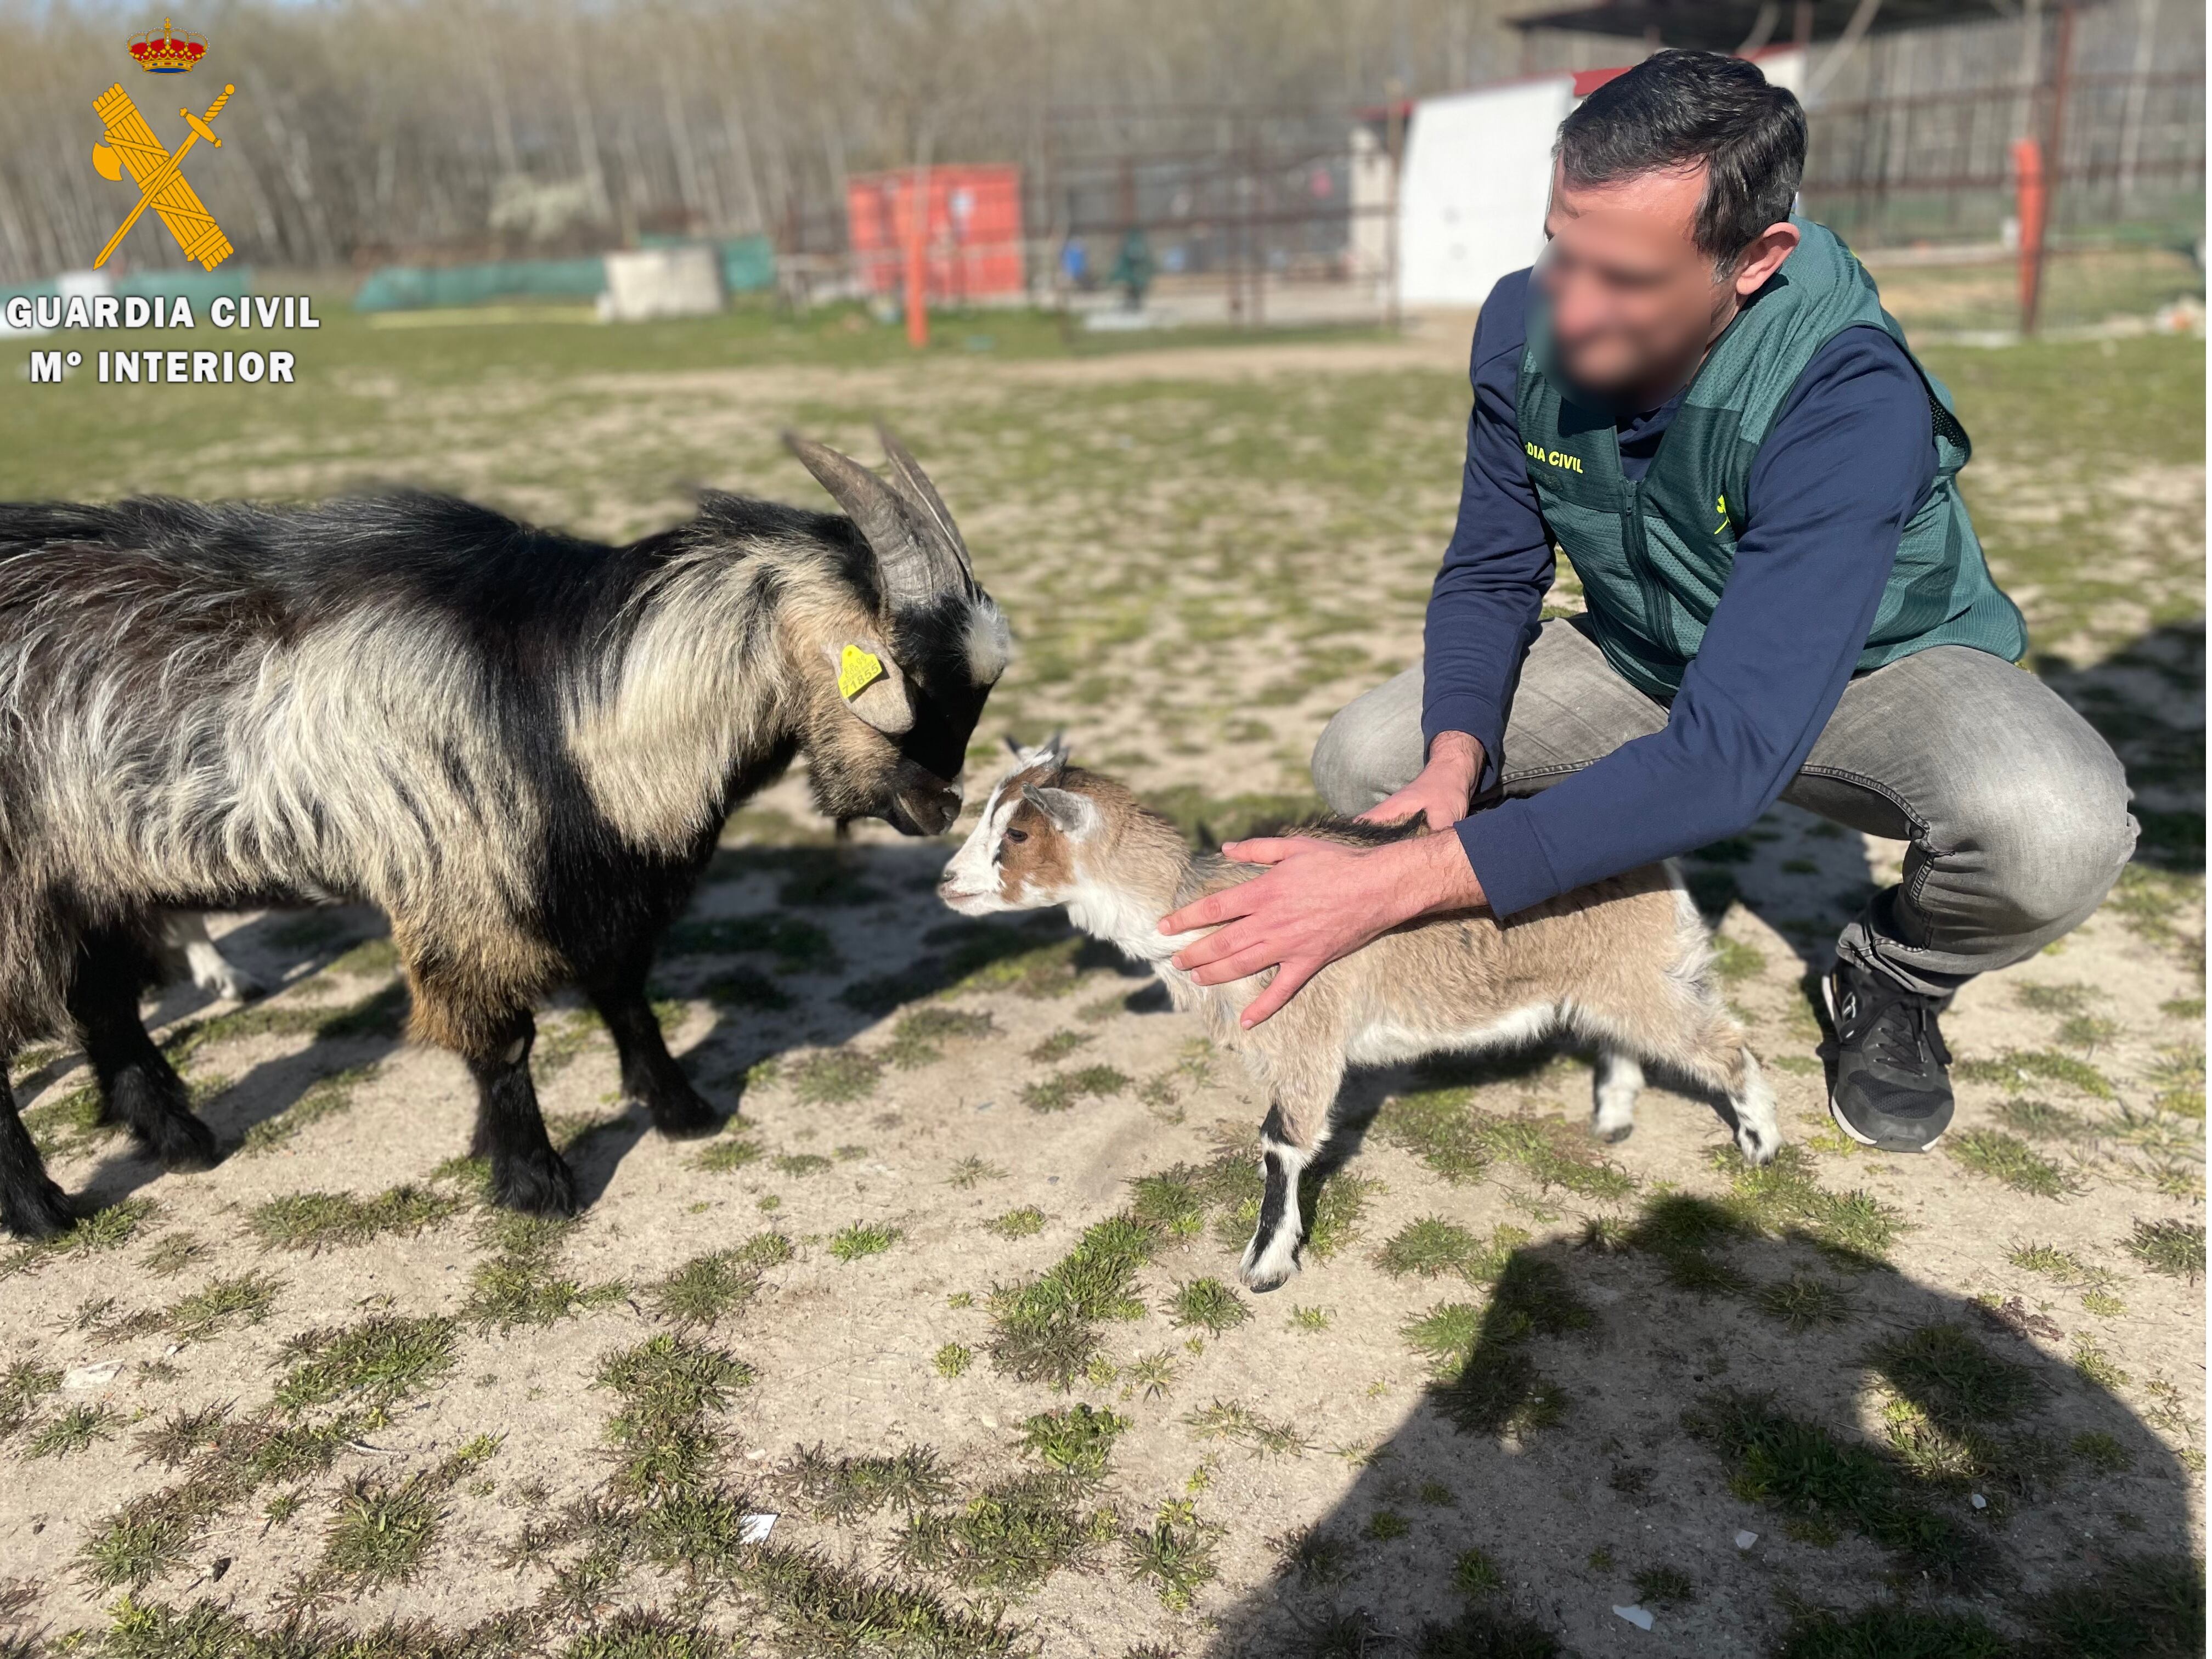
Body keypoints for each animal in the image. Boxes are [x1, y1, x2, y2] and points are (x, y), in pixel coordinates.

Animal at [933, 743, 1778, 1300]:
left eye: (1016, 834)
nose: (946, 883)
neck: (1195, 907)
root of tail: (1659, 864)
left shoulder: (1304, 1029)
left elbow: (1281, 1142)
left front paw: (1266, 1265)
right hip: (1609, 982)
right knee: (1628, 1038)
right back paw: (1613, 1118)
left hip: (1637, 978)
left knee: (1727, 1044)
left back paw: (1761, 1144)